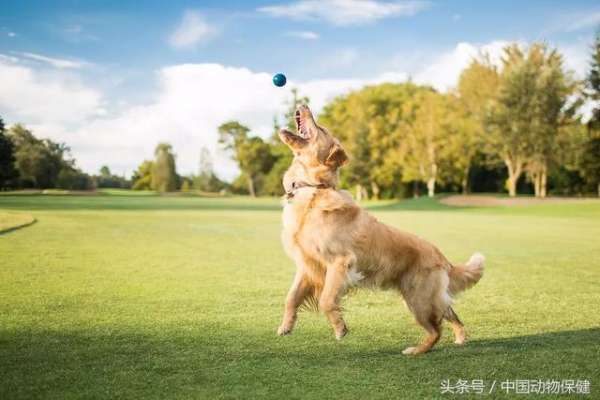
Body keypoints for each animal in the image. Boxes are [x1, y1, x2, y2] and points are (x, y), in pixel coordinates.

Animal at [276, 104, 482, 354]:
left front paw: (340, 328)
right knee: (450, 314)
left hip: (418, 299)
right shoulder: (307, 265)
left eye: (321, 128)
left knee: (436, 330)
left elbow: (326, 300)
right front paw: (286, 326)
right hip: (426, 298)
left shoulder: (340, 262)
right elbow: (291, 297)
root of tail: (443, 258)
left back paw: (415, 351)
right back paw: (460, 338)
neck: (314, 188)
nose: (304, 105)